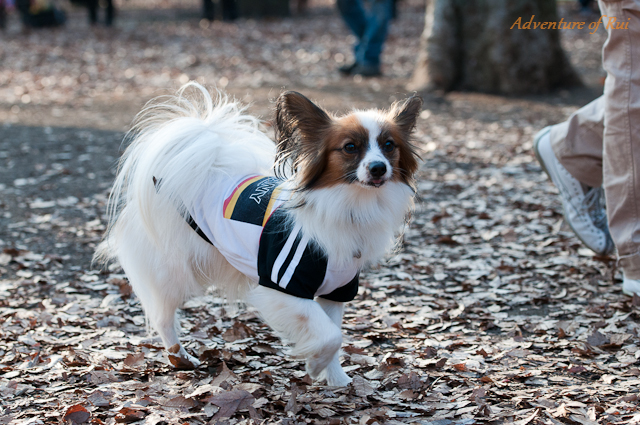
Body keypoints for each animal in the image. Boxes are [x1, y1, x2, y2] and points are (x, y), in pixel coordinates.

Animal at [95, 82, 422, 386]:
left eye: (389, 145)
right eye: (350, 147)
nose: (379, 168)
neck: (350, 204)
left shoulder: (337, 290)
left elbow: (334, 332)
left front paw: (337, 379)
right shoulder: (282, 286)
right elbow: (330, 336)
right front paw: (315, 365)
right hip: (173, 272)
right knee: (162, 315)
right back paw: (179, 356)